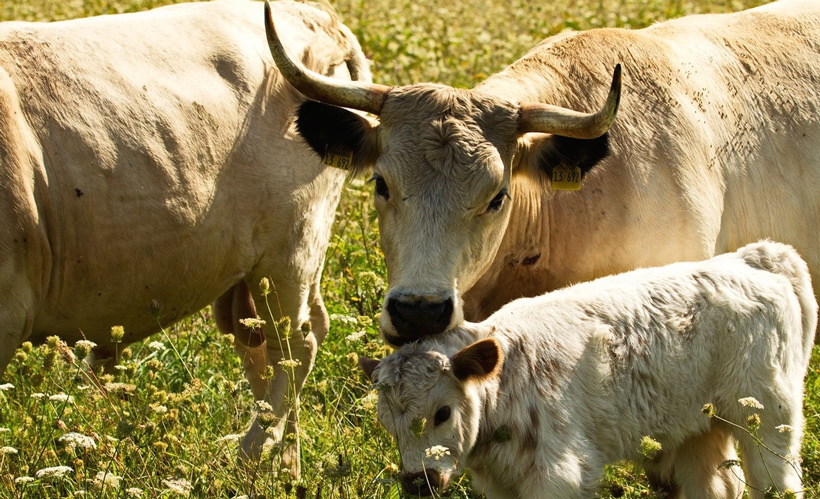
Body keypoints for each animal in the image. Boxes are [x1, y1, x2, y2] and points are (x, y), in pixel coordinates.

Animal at [0, 0, 370, 473]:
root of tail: (315, 16)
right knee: (263, 352)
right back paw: (284, 467)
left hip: (290, 250)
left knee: (294, 346)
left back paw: (253, 453)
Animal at [360, 241, 818, 498]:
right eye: (387, 424)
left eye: (443, 413)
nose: (419, 483)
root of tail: (750, 259)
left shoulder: (558, 473)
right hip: (695, 426)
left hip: (767, 414)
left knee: (776, 481)